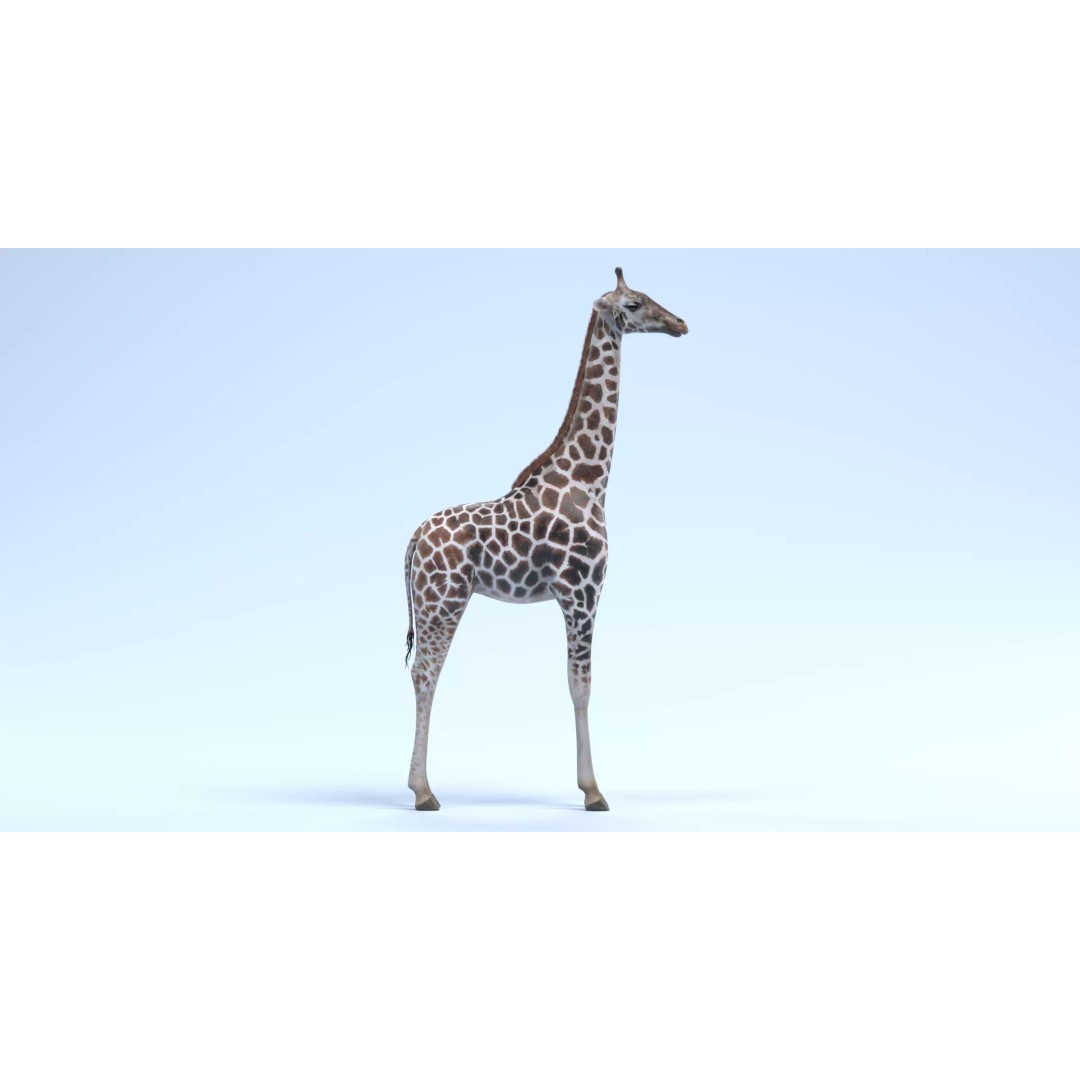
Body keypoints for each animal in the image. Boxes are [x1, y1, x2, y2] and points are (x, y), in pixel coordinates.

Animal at [403, 267, 688, 811]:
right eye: (635, 304)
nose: (681, 324)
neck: (589, 478)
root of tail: (411, 540)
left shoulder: (575, 597)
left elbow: (577, 684)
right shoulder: (582, 593)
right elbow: (582, 686)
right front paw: (593, 791)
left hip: (435, 604)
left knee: (421, 675)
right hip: (441, 601)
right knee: (426, 675)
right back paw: (424, 792)